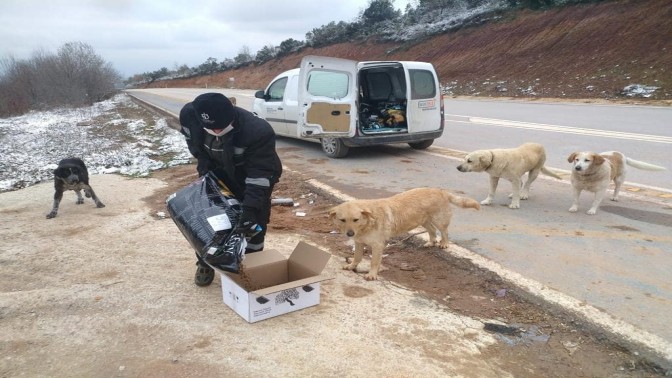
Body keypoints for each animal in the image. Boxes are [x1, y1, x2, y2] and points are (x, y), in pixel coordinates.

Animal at [330, 187, 478, 280]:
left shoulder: (378, 246)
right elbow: (357, 257)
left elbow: (374, 262)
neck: (367, 223)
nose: (350, 234)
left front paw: (372, 274)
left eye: (355, 219)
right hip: (423, 220)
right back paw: (431, 242)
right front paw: (352, 266)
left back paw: (444, 243)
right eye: (342, 220)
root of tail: (441, 191)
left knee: (444, 231)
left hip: (439, 220)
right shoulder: (359, 243)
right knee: (432, 230)